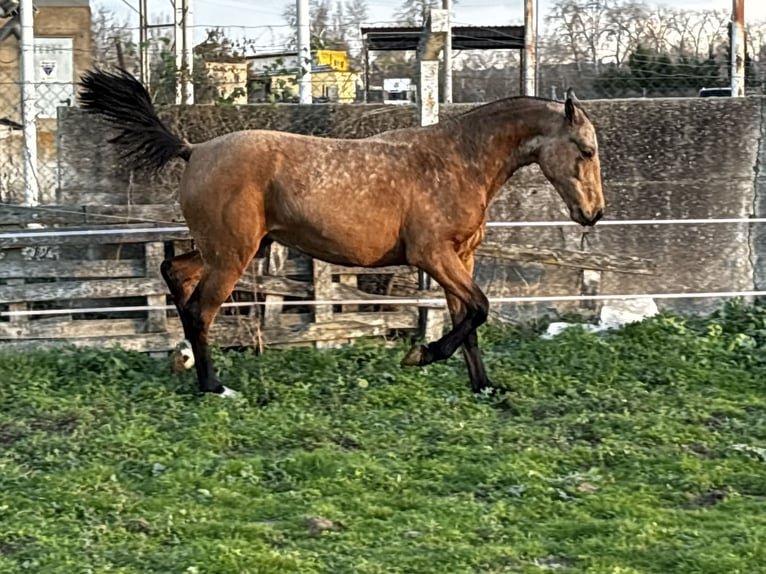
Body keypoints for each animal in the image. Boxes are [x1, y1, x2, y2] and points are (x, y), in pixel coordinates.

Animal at [78, 68, 605, 397]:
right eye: (586, 150)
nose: (594, 213)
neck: (457, 161)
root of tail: (194, 150)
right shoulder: (432, 256)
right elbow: (478, 309)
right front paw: (421, 355)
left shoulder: (461, 257)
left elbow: (470, 320)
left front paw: (485, 387)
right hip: (233, 255)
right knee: (200, 311)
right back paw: (214, 386)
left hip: (231, 249)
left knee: (175, 274)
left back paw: (183, 360)